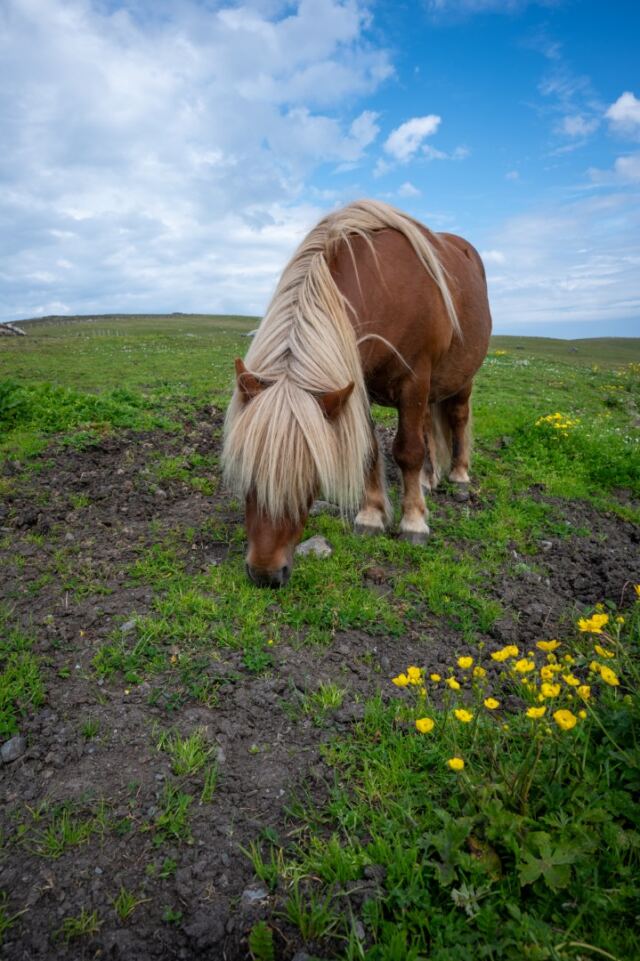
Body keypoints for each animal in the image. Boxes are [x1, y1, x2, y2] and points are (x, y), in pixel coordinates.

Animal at [222, 199, 492, 587]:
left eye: (310, 477)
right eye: (246, 472)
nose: (265, 574)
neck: (386, 288)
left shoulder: (414, 379)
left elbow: (408, 450)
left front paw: (414, 522)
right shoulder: (354, 384)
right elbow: (370, 451)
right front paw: (372, 515)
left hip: (460, 378)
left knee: (456, 418)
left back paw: (458, 475)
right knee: (429, 425)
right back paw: (428, 480)